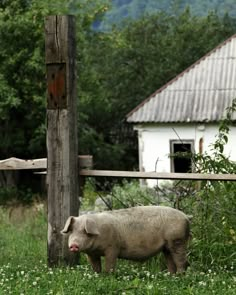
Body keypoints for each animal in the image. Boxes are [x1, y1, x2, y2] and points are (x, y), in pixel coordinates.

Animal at [61, 207, 192, 274]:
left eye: (84, 231)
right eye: (72, 231)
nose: (73, 245)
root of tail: (186, 217)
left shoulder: (112, 247)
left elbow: (110, 264)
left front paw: (107, 276)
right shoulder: (91, 253)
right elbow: (95, 266)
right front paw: (97, 275)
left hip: (177, 240)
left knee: (181, 261)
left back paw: (180, 276)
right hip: (167, 246)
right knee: (171, 260)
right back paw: (171, 276)